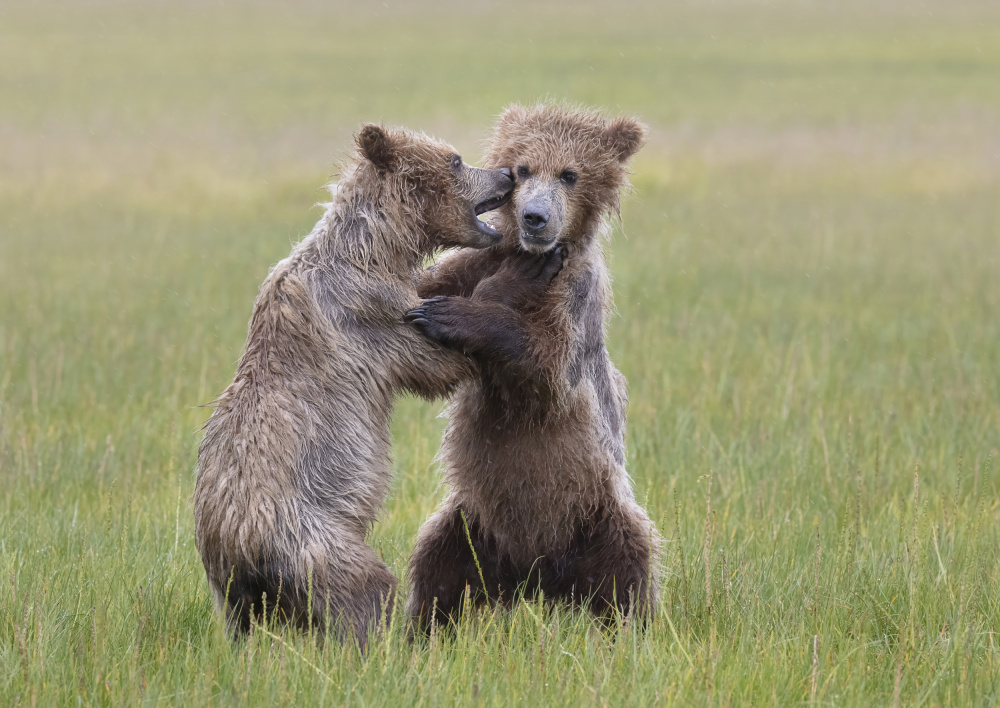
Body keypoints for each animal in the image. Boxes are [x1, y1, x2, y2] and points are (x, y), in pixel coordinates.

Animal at [191, 124, 560, 644]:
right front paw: (517, 275)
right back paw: (395, 639)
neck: (376, 248)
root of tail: (239, 551)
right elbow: (438, 362)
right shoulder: (371, 313)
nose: (507, 174)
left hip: (234, 595)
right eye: (455, 159)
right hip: (311, 540)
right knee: (366, 588)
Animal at [406, 102, 664, 628]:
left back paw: (631, 627)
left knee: (629, 567)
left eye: (569, 173)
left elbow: (546, 366)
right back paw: (418, 628)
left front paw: (452, 315)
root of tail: (533, 575)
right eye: (523, 169)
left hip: (597, 512)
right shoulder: (472, 263)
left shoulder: (573, 298)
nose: (535, 217)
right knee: (436, 568)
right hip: (472, 524)